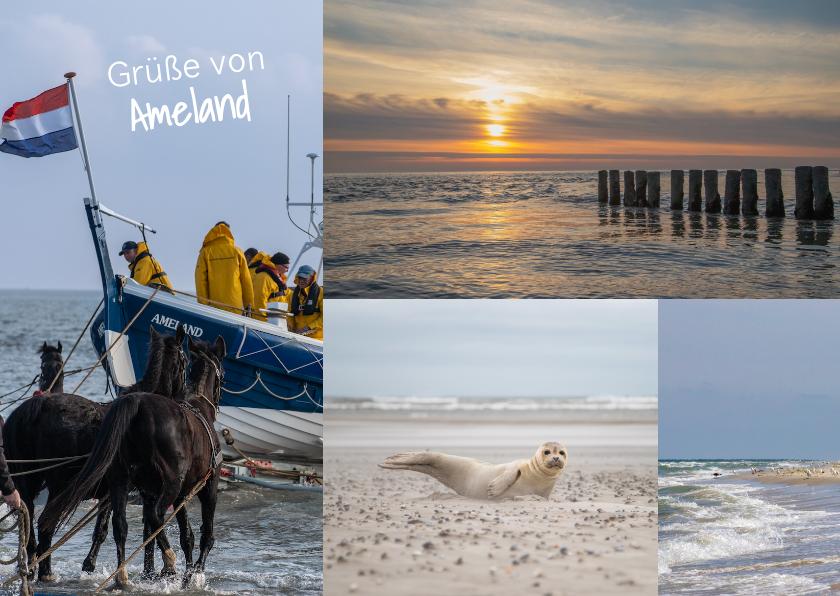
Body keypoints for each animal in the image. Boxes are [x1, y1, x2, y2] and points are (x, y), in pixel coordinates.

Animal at [4, 326, 189, 584]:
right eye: (185, 360)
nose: (185, 394)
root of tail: (29, 410)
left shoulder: (109, 492)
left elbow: (103, 530)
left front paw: (90, 565)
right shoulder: (122, 490)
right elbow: (127, 529)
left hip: (28, 483)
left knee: (29, 522)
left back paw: (32, 567)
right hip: (59, 485)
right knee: (45, 523)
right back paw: (45, 572)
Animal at [41, 338, 226, 588]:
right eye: (222, 376)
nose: (217, 403)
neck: (198, 405)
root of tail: (136, 404)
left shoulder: (171, 493)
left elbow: (185, 535)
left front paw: (183, 571)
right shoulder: (208, 487)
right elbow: (206, 534)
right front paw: (193, 572)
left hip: (120, 481)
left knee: (122, 524)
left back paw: (122, 575)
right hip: (169, 484)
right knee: (156, 517)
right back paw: (168, 562)